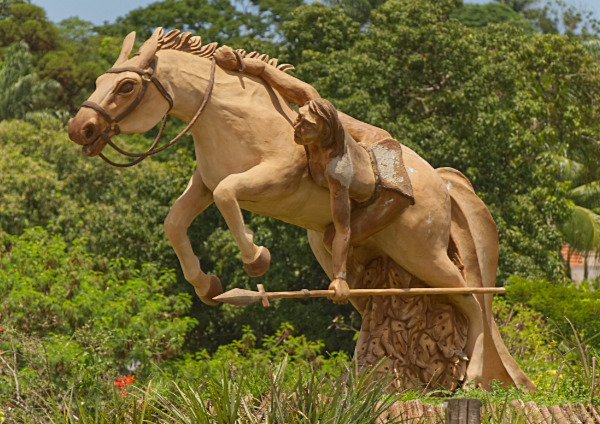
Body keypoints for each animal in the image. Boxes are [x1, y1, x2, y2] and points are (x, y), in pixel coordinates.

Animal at [69, 27, 536, 390]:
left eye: (126, 86)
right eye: (100, 80)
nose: (80, 129)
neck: (233, 117)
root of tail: (441, 183)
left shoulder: (270, 180)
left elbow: (228, 195)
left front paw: (256, 258)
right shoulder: (202, 183)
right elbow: (175, 221)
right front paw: (207, 285)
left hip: (424, 253)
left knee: (473, 301)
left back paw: (474, 379)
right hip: (349, 251)